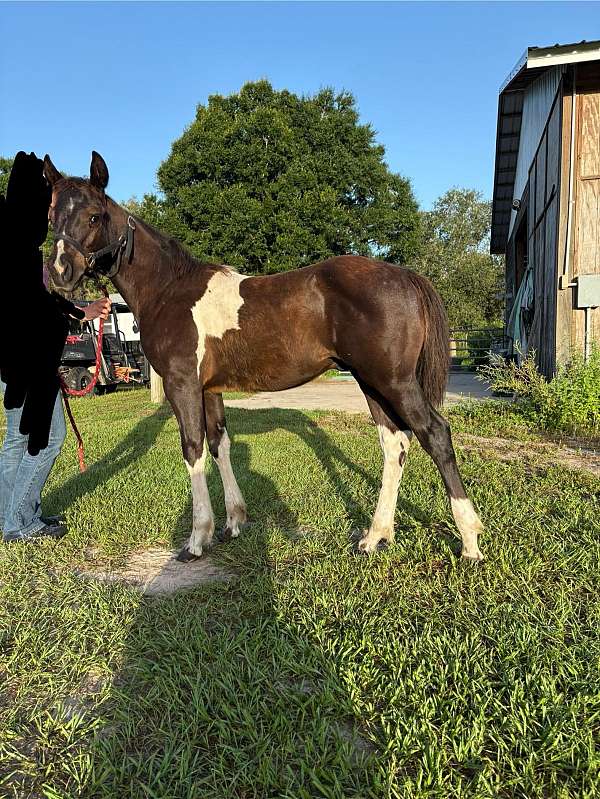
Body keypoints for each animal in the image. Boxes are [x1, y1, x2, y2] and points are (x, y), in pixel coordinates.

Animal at [44, 151, 484, 563]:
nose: (60, 273)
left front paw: (196, 539)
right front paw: (233, 523)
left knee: (435, 434)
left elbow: (193, 449)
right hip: (371, 382)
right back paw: (374, 537)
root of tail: (404, 275)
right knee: (395, 444)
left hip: (395, 381)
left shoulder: (181, 384)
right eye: (51, 217)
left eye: (95, 216)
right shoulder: (210, 389)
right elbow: (219, 444)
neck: (170, 289)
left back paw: (469, 542)